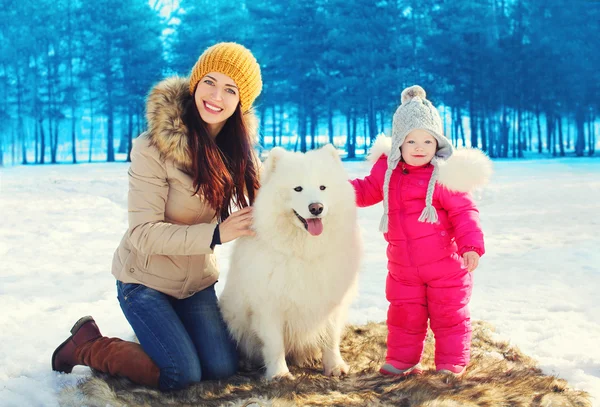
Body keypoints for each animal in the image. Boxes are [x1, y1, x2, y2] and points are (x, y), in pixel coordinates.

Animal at [220, 145, 360, 380]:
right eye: (298, 189)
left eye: (323, 187)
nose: (316, 207)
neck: (305, 252)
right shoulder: (268, 307)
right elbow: (275, 344)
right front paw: (279, 375)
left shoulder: (331, 302)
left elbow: (330, 339)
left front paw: (334, 367)